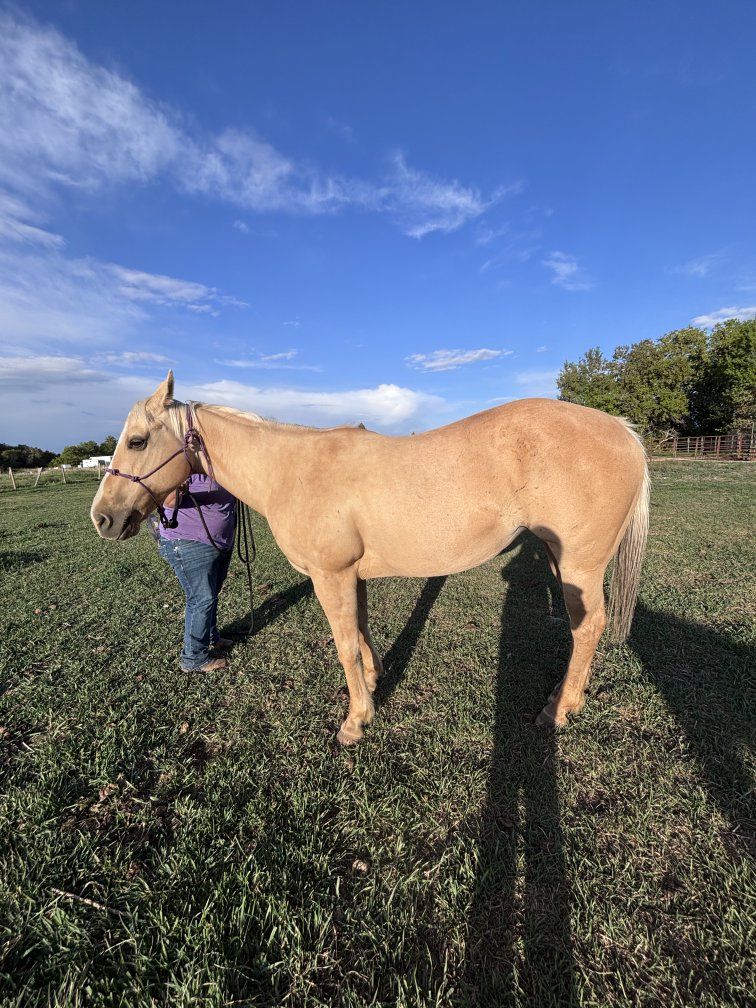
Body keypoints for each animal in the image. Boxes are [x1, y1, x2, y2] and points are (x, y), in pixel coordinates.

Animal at [91, 372, 649, 744]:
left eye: (137, 440)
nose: (103, 518)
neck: (293, 470)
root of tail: (622, 430)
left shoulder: (329, 575)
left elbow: (343, 646)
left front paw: (355, 721)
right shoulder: (350, 575)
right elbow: (359, 633)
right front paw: (375, 683)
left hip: (579, 565)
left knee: (588, 628)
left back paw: (558, 710)